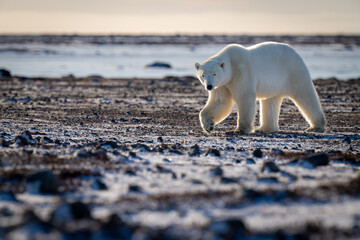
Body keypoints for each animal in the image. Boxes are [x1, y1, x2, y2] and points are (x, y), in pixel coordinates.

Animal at [194, 42, 326, 134]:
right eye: (203, 75)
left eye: (214, 74)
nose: (209, 86)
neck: (231, 63)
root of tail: (295, 52)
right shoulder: (222, 84)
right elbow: (220, 102)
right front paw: (208, 126)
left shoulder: (241, 72)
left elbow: (245, 98)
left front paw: (239, 130)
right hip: (275, 84)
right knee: (270, 102)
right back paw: (264, 128)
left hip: (293, 71)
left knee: (305, 95)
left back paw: (316, 126)